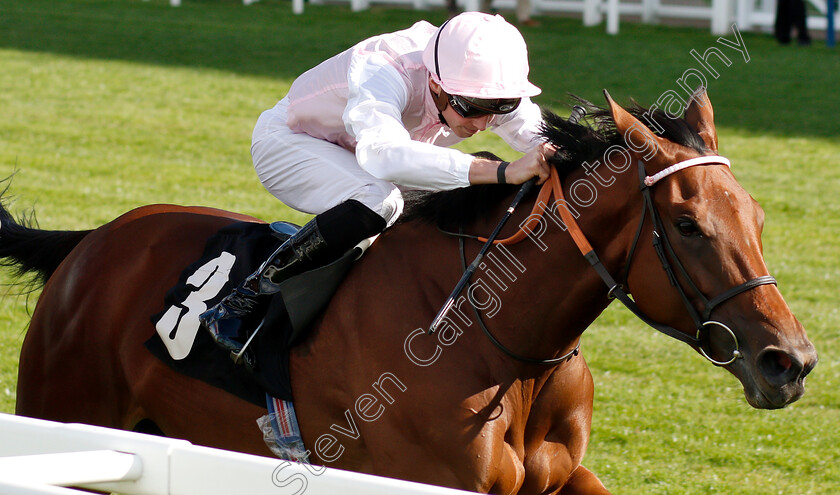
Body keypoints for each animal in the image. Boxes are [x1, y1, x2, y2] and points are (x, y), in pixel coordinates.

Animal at [0, 90, 812, 495]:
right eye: (688, 224)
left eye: (757, 217)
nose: (790, 361)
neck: (498, 341)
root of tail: (91, 242)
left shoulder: (559, 478)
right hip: (68, 411)